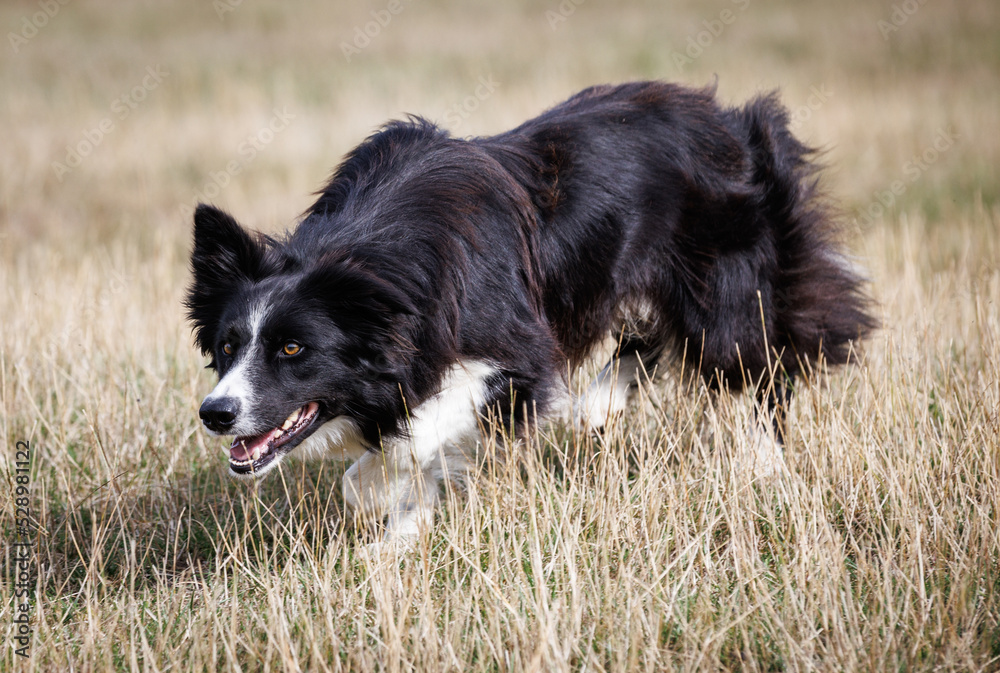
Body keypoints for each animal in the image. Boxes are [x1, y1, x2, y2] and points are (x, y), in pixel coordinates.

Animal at [188, 80, 876, 540]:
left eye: (293, 349)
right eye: (226, 346)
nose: (215, 414)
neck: (372, 250)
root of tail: (735, 123)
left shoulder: (513, 338)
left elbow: (434, 424)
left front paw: (383, 493)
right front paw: (399, 533)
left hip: (720, 275)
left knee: (751, 361)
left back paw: (763, 468)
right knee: (648, 336)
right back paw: (597, 406)